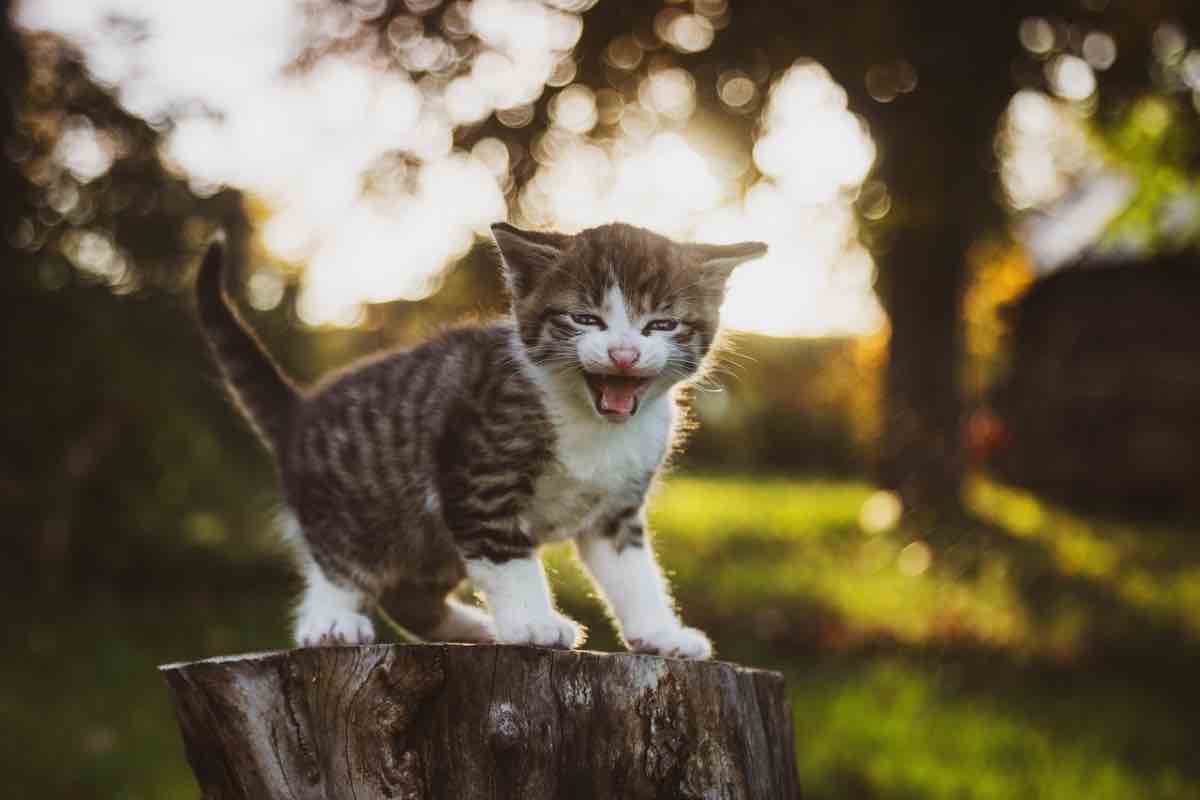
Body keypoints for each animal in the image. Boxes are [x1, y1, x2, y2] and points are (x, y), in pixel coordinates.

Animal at [193, 220, 763, 657]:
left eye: (661, 325)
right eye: (585, 319)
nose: (623, 354)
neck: (594, 424)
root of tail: (300, 410)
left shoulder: (616, 511)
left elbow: (634, 573)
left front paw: (660, 633)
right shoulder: (477, 471)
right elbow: (506, 555)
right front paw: (533, 621)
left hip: (429, 542)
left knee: (410, 597)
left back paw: (477, 628)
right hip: (359, 505)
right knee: (339, 560)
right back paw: (329, 621)